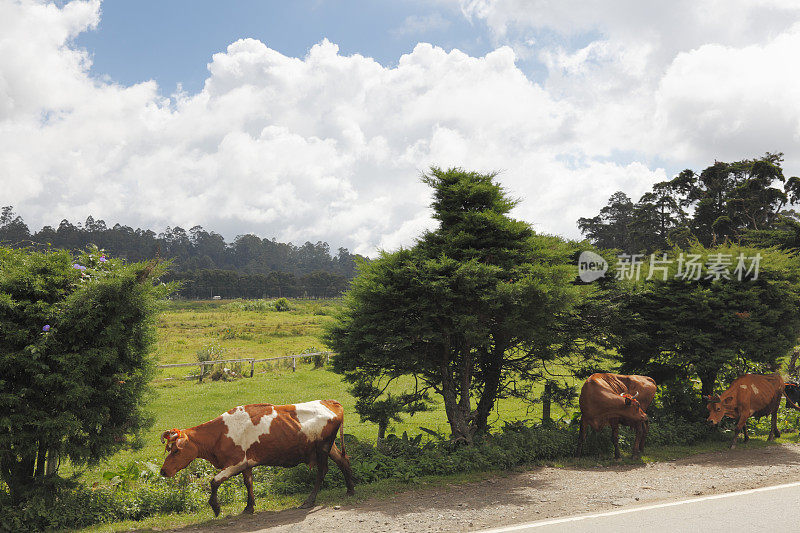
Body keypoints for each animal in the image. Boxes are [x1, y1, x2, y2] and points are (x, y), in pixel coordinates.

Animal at [159, 400, 354, 516]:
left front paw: (215, 506)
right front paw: (249, 506)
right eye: (169, 449)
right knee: (344, 461)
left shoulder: (236, 462)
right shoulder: (246, 464)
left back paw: (309, 501)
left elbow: (214, 481)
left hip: (322, 448)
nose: (163, 471)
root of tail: (331, 402)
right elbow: (248, 483)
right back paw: (350, 490)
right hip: (330, 447)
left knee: (322, 471)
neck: (219, 434)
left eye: (175, 450)